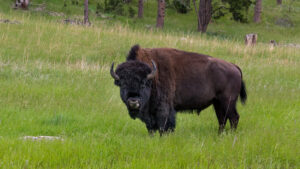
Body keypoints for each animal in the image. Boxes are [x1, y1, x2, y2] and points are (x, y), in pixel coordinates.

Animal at [110, 45, 246, 135]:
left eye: (143, 84)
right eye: (122, 84)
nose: (133, 101)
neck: (152, 77)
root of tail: (234, 66)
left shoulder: (164, 109)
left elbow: (164, 125)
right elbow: (151, 127)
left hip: (228, 102)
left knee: (234, 117)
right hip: (217, 103)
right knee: (222, 118)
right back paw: (219, 135)